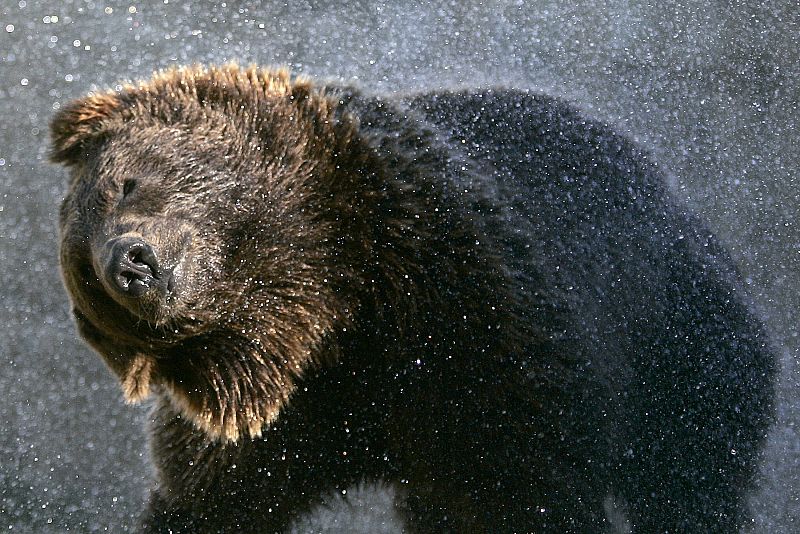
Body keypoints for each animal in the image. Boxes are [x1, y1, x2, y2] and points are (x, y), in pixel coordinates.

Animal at [50, 64, 775, 533]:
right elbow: (206, 497)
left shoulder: (474, 331)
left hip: (681, 338)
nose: (129, 263)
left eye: (128, 182)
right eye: (85, 272)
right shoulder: (279, 424)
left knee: (689, 475)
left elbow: (527, 486)